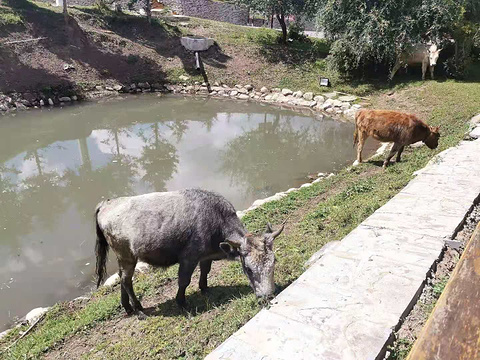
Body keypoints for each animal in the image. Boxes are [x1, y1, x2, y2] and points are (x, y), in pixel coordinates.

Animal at [95, 190, 284, 316]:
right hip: (127, 256)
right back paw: (139, 308)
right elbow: (184, 281)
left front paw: (205, 288)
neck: (215, 222)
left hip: (123, 258)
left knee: (122, 278)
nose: (268, 295)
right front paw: (182, 302)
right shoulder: (188, 259)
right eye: (249, 269)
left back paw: (127, 307)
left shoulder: (206, 256)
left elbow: (205, 271)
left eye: (273, 262)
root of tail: (107, 203)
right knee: (126, 280)